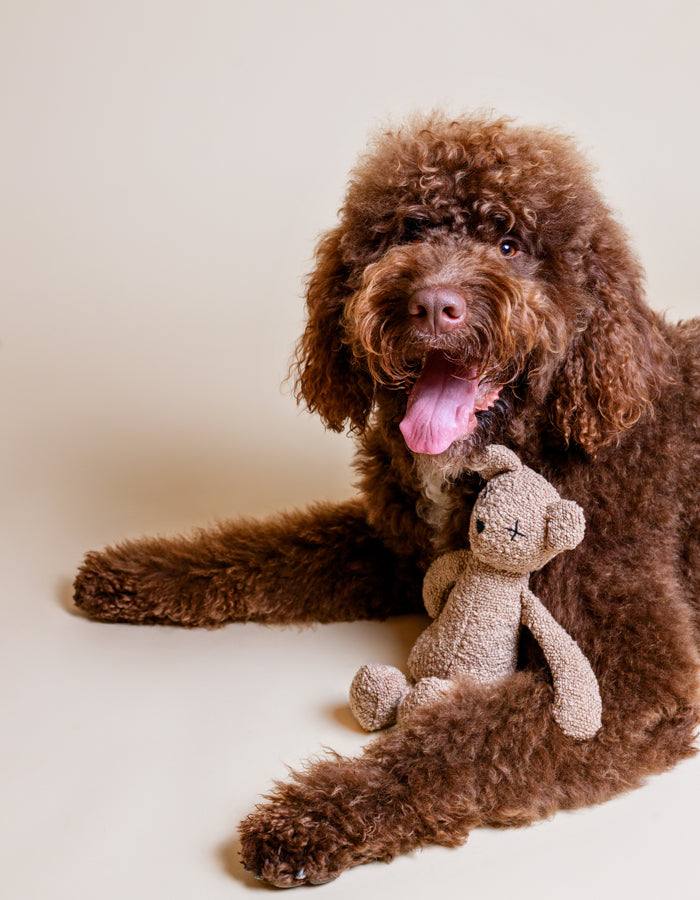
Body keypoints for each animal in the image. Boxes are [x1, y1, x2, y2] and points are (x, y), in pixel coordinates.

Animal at [72, 112, 700, 884]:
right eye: (408, 231)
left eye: (510, 244)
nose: (433, 304)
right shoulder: (397, 551)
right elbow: (260, 551)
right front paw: (135, 572)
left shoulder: (630, 678)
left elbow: (457, 744)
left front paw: (312, 813)